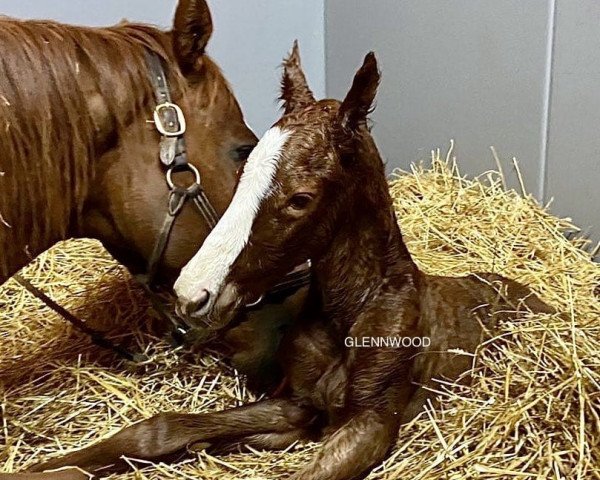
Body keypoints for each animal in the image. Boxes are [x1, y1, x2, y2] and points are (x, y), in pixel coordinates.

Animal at [22, 45, 548, 480]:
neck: (352, 312)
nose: (192, 293)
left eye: (300, 199)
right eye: (242, 173)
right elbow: (161, 429)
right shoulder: (294, 403)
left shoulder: (371, 422)